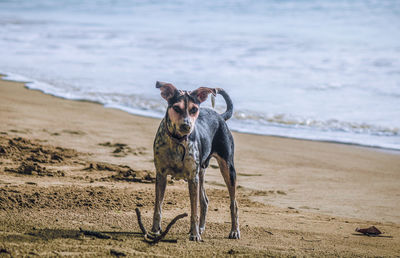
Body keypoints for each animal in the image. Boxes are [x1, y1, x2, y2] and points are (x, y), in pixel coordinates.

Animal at [152, 81, 239, 242]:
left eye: (194, 109)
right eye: (176, 108)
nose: (186, 125)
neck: (178, 140)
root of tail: (220, 116)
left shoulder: (193, 178)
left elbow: (194, 210)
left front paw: (194, 234)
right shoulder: (161, 174)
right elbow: (158, 207)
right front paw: (154, 230)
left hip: (227, 168)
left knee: (233, 203)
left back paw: (234, 231)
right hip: (201, 171)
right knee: (204, 200)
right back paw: (202, 227)